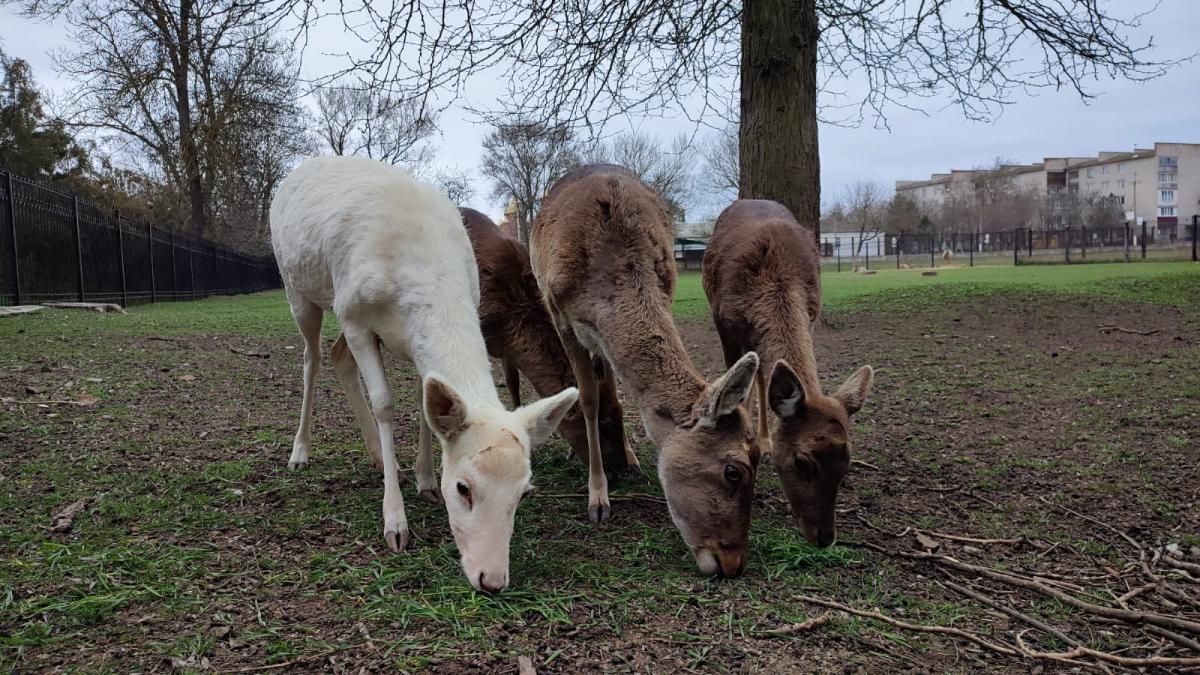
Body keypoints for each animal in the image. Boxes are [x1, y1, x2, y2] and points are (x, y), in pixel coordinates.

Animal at [270, 153, 578, 588]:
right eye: (463, 487)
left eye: (525, 491)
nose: (492, 579)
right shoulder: (355, 316)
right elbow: (385, 403)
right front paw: (395, 524)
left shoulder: (412, 342)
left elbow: (424, 404)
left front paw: (426, 481)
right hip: (298, 288)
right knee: (311, 358)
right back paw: (300, 453)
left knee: (337, 355)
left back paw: (380, 459)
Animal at [535, 165, 758, 576]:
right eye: (734, 471)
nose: (733, 562)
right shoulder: (561, 317)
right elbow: (587, 399)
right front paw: (598, 498)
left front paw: (624, 461)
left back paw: (630, 458)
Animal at [700, 198, 873, 547]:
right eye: (801, 461)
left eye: (847, 464)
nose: (825, 537)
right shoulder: (724, 323)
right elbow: (738, 383)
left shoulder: (812, 315)